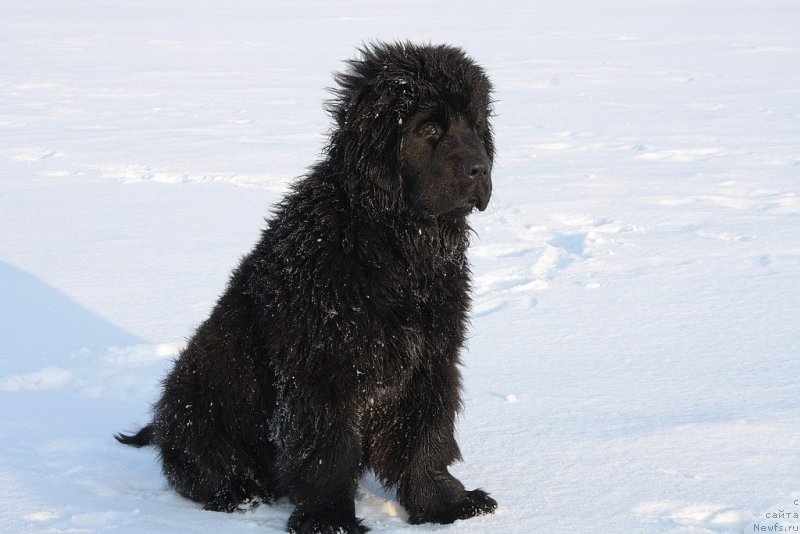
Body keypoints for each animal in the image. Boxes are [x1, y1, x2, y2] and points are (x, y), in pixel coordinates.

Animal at [116, 43, 496, 534]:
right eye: (429, 127)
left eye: (477, 125)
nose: (480, 169)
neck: (390, 243)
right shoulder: (322, 367)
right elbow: (327, 453)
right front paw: (328, 520)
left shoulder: (429, 358)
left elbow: (425, 437)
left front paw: (444, 506)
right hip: (196, 406)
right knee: (202, 469)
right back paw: (239, 494)